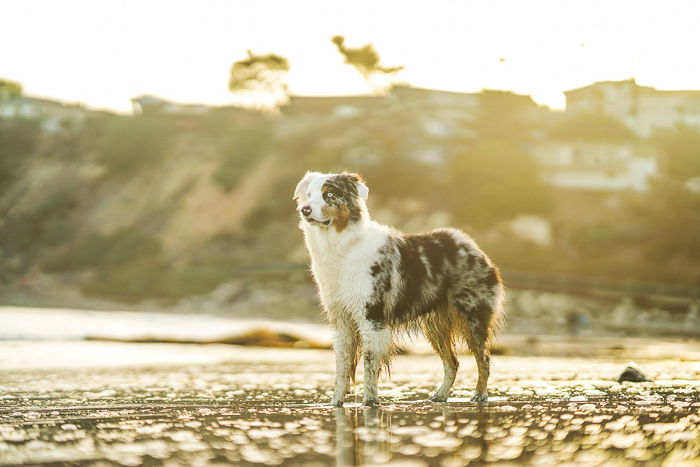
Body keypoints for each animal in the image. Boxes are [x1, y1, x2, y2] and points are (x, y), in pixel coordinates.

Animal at [294, 172, 504, 406]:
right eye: (308, 195)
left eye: (329, 194)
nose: (305, 210)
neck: (341, 247)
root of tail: (472, 246)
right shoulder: (341, 321)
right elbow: (342, 367)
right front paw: (335, 403)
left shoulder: (372, 318)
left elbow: (369, 365)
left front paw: (369, 402)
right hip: (435, 326)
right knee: (453, 362)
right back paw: (440, 396)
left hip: (473, 318)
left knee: (484, 359)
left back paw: (480, 395)